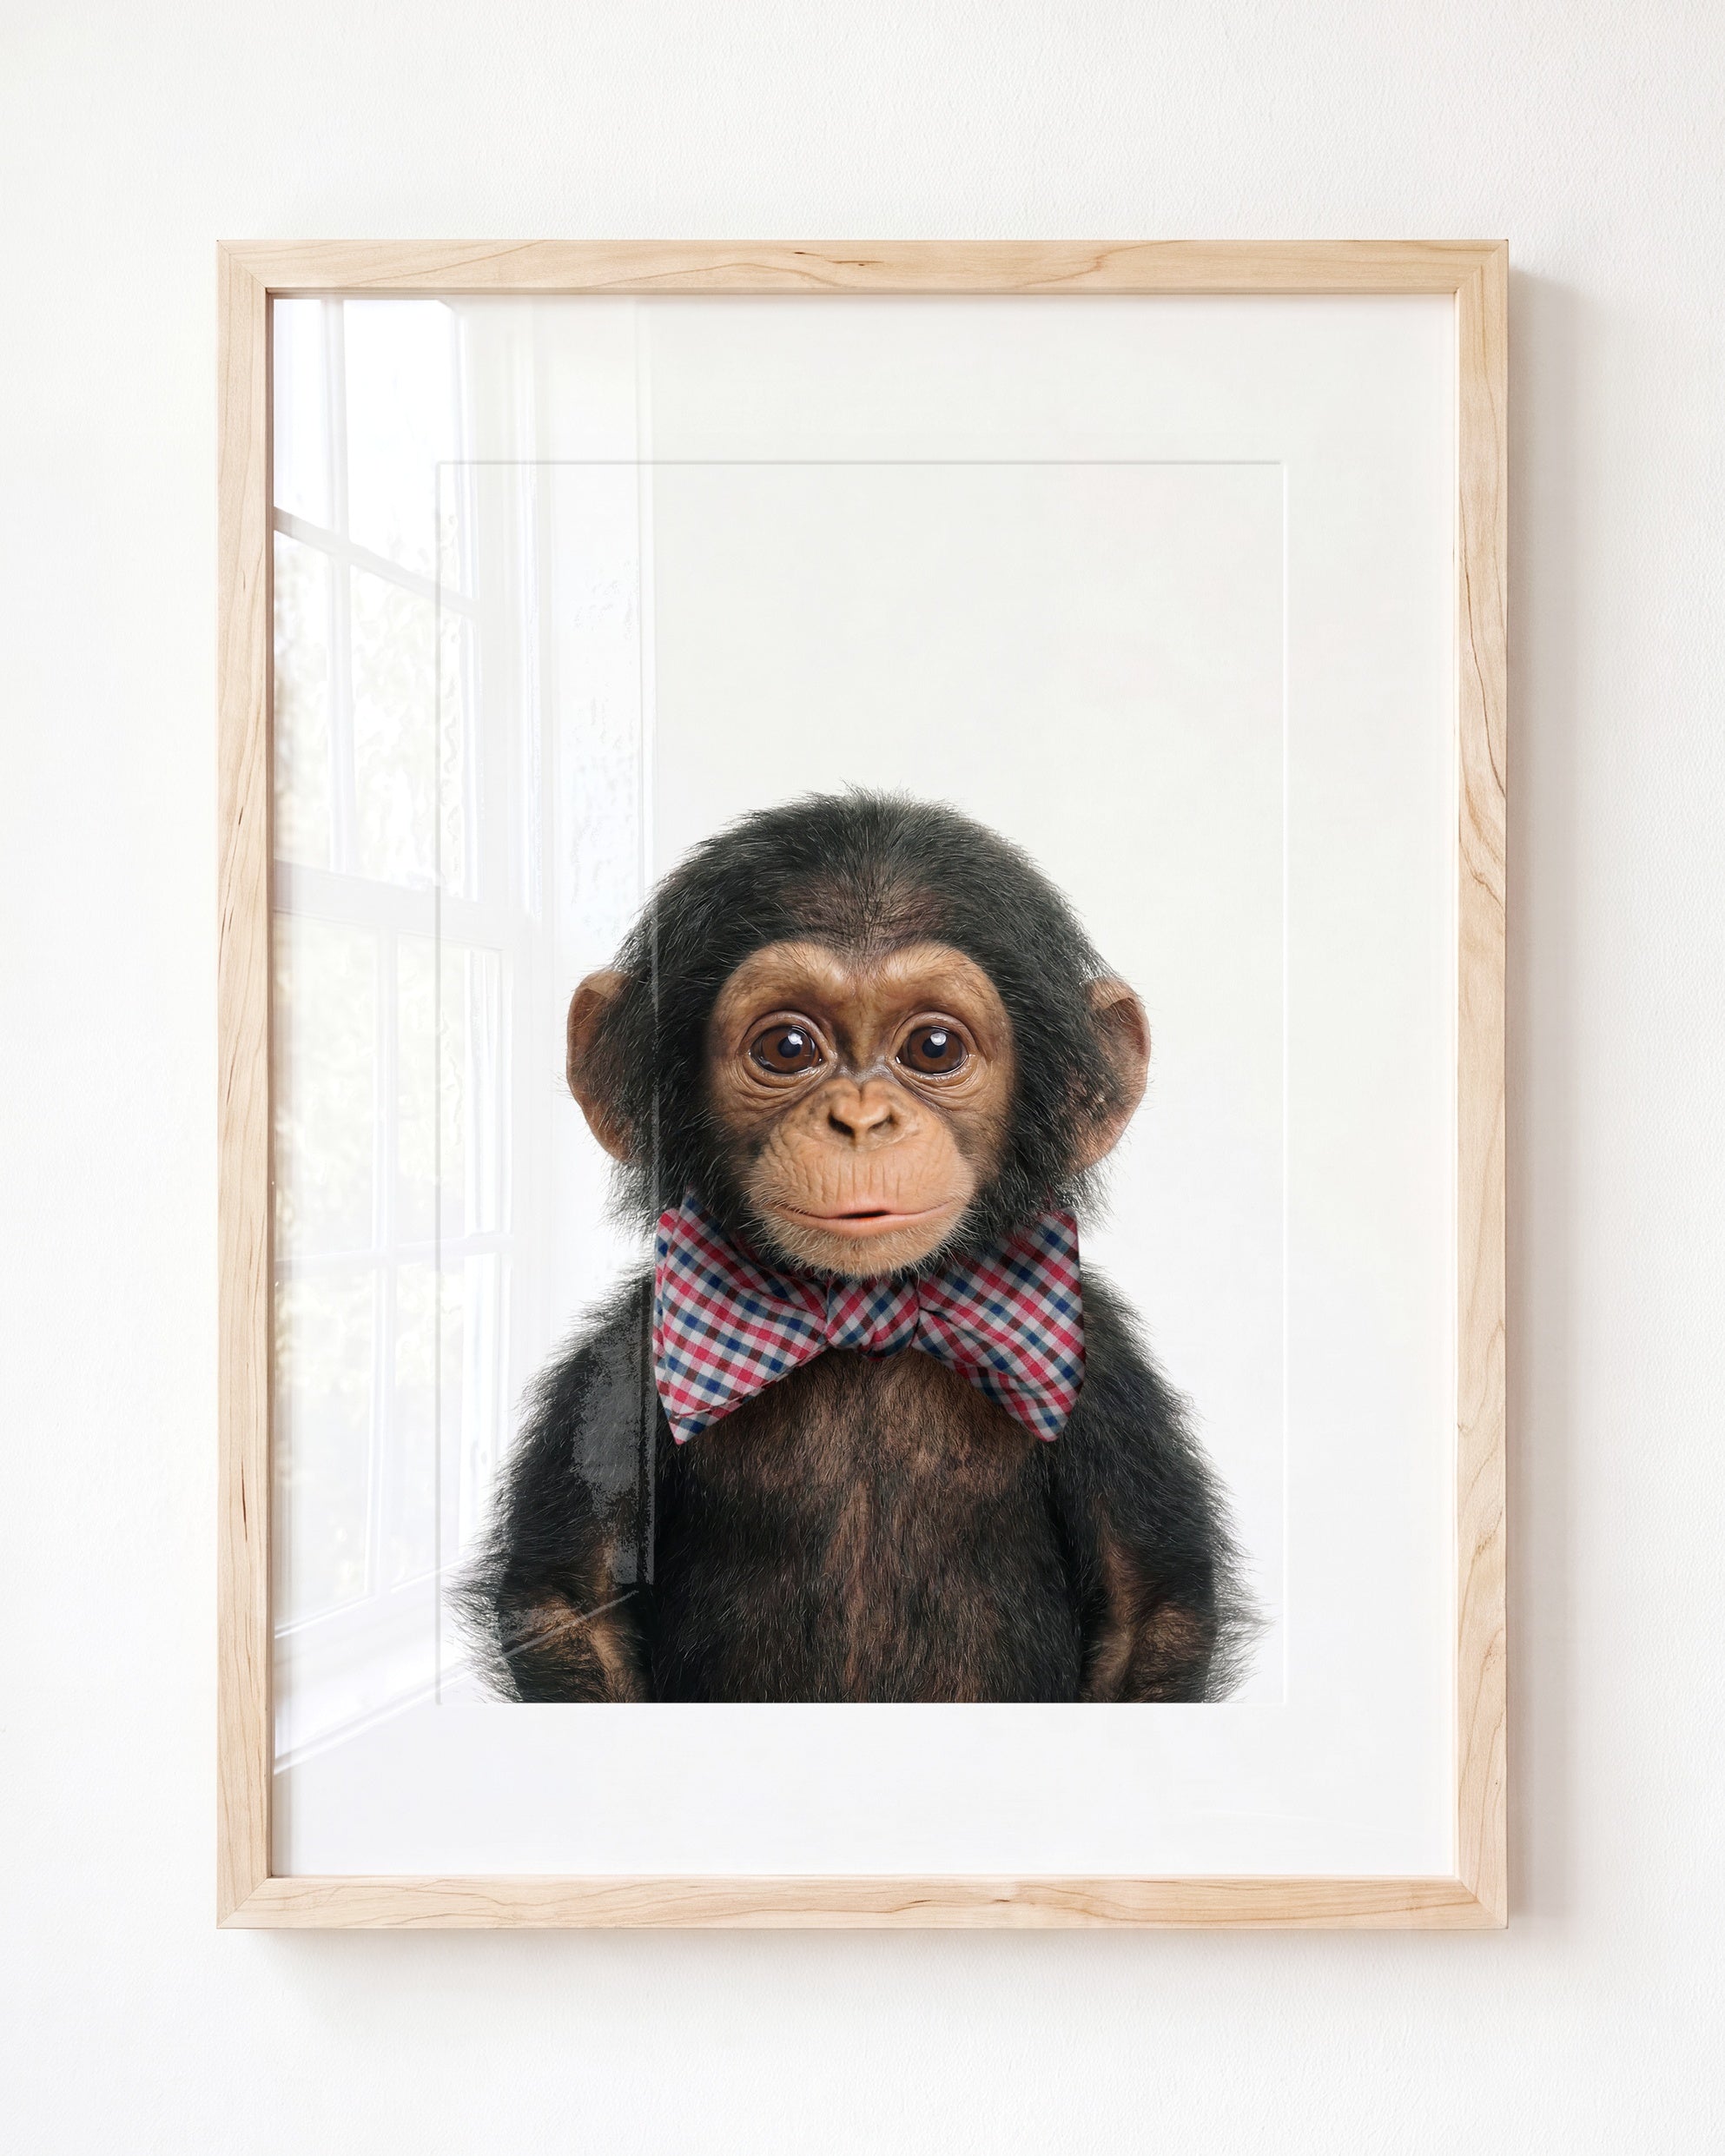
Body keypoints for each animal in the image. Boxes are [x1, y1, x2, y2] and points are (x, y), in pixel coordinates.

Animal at [455, 792, 1255, 1703]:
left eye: (934, 1048)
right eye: (787, 1047)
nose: (862, 1120)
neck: (866, 1314)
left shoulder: (1105, 1371)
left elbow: (1149, 1609)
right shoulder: (624, 1360)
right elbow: (570, 1602)